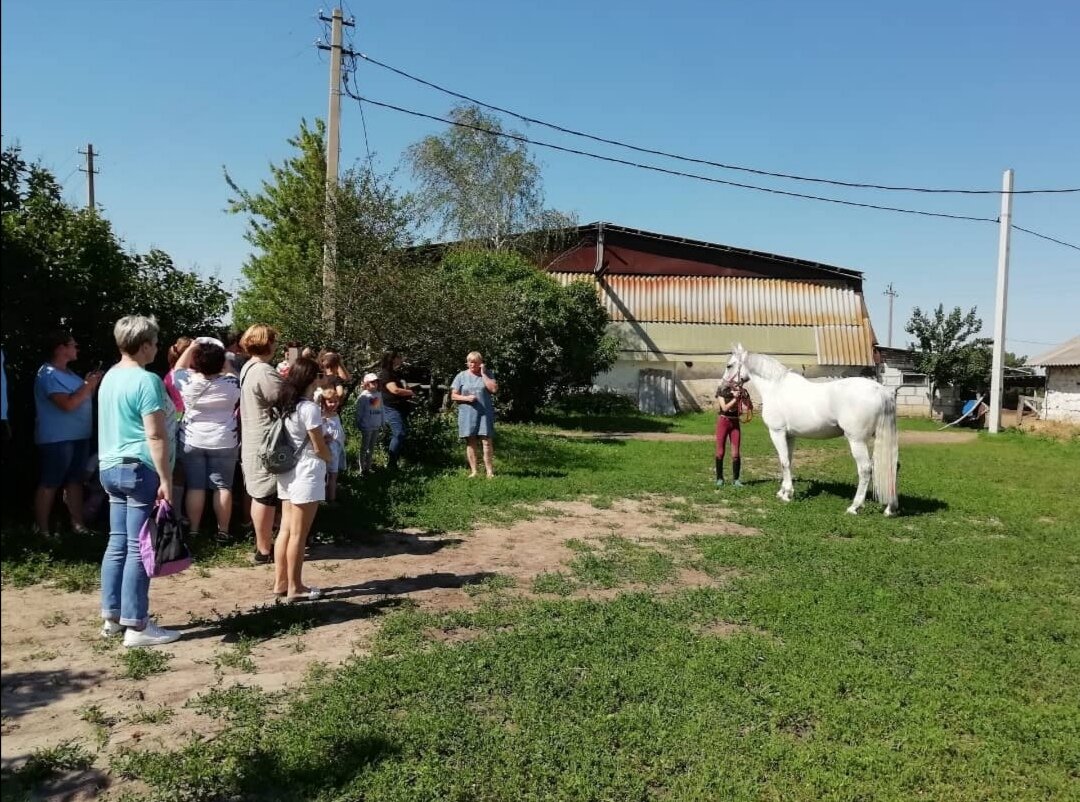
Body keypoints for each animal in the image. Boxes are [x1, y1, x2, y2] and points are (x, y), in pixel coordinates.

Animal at [725, 343, 902, 513]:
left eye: (729, 365)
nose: (723, 389)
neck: (775, 388)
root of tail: (881, 391)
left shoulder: (777, 432)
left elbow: (784, 462)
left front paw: (787, 494)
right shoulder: (790, 435)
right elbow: (788, 460)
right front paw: (782, 492)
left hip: (857, 440)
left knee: (865, 469)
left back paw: (854, 507)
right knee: (892, 465)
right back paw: (890, 508)